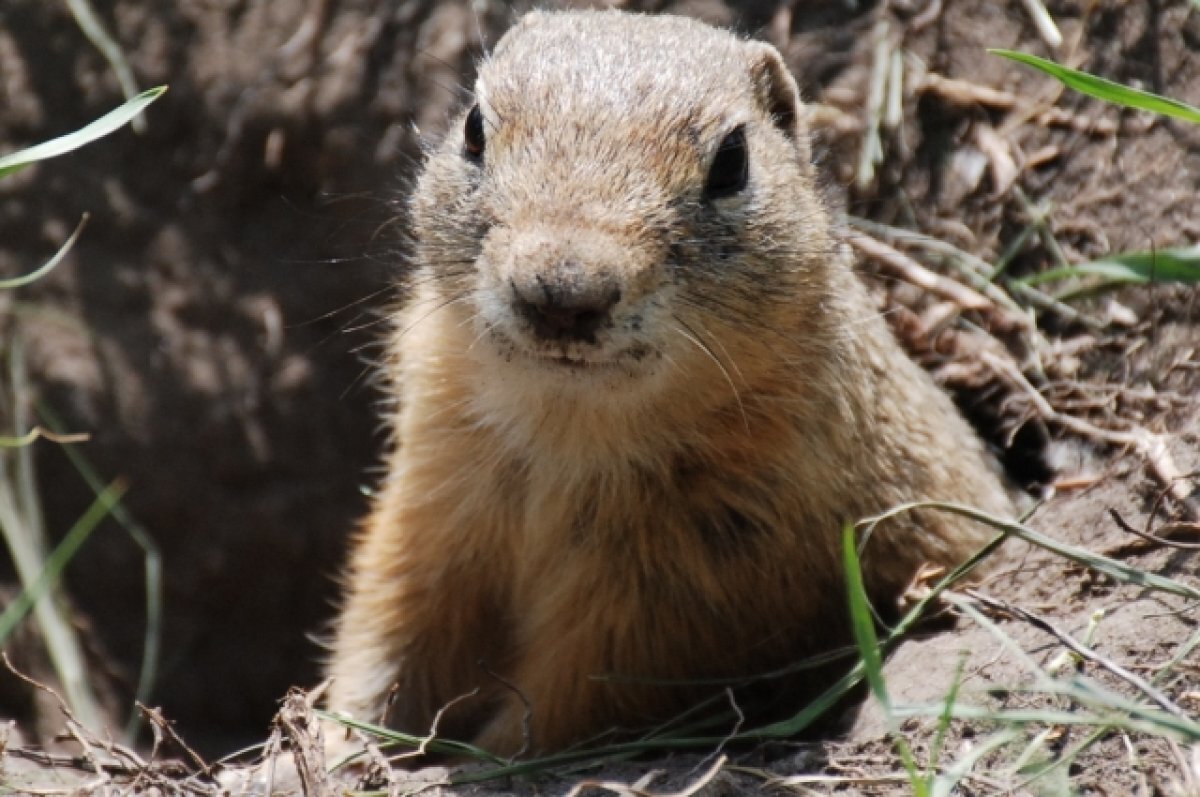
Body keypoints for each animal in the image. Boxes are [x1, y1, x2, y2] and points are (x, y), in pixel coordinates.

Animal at [326, 9, 1012, 758]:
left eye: (734, 159)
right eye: (475, 127)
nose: (561, 292)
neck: (563, 428)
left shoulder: (683, 586)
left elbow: (574, 699)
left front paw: (482, 755)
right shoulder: (432, 500)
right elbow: (391, 624)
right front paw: (340, 743)